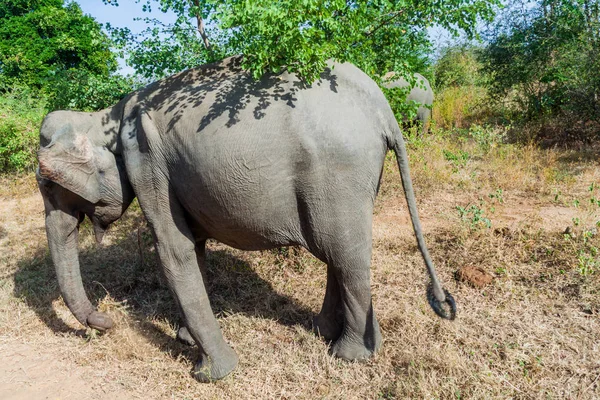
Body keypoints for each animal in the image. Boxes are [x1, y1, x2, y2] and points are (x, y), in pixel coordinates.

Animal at [36, 55, 454, 382]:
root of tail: (380, 105)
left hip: (340, 170)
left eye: (50, 185)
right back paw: (325, 332)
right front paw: (185, 340)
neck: (105, 116)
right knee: (337, 250)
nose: (106, 320)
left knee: (344, 253)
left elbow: (173, 250)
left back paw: (348, 355)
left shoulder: (147, 159)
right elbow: (193, 247)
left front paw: (211, 373)